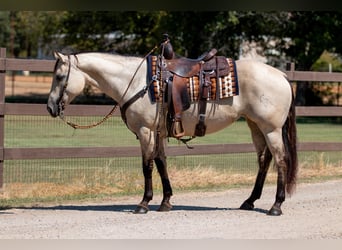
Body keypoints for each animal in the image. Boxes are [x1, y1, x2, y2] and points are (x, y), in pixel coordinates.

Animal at [46, 41, 298, 215]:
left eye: (59, 76)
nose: (50, 107)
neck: (136, 82)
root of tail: (281, 75)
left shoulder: (146, 131)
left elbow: (147, 166)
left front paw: (144, 203)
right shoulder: (157, 132)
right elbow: (161, 163)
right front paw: (166, 201)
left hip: (271, 129)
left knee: (281, 160)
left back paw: (276, 205)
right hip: (255, 125)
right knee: (264, 160)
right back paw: (249, 201)